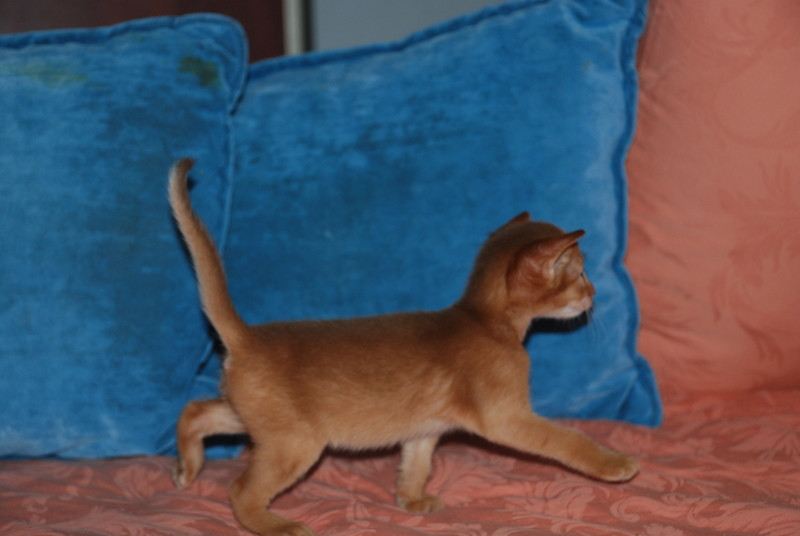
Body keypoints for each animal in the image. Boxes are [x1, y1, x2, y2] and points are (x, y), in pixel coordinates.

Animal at [168, 158, 638, 536]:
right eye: (580, 273)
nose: (594, 293)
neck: (484, 321)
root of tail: (247, 335)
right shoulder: (506, 417)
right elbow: (567, 439)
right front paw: (615, 463)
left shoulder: (425, 427)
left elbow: (417, 463)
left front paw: (410, 500)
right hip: (295, 442)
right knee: (240, 488)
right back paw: (276, 525)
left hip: (260, 419)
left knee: (196, 411)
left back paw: (188, 467)